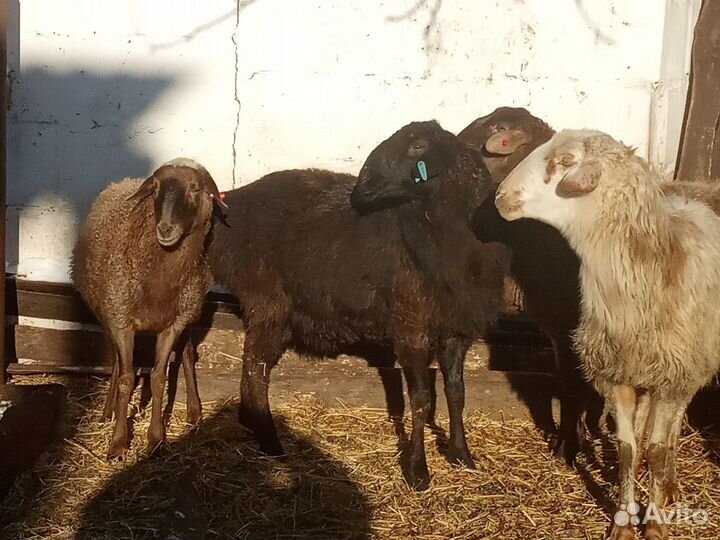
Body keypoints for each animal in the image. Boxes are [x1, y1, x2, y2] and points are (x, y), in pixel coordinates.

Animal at [72, 159, 226, 459]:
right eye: (154, 188)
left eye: (195, 187)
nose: (165, 228)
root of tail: (120, 182)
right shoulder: (121, 321)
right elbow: (127, 378)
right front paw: (118, 442)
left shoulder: (173, 324)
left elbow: (158, 378)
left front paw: (155, 439)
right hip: (108, 314)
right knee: (117, 362)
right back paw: (108, 411)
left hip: (189, 312)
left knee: (187, 354)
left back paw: (194, 412)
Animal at [207, 121, 509, 490]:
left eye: (418, 146)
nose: (361, 187)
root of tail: (231, 201)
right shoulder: (410, 325)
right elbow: (421, 399)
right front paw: (417, 471)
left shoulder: (457, 328)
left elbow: (456, 393)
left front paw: (461, 454)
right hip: (267, 300)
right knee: (255, 369)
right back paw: (270, 441)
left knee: (253, 366)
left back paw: (253, 426)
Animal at [495, 129, 720, 540]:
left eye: (566, 161)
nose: (501, 195)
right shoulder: (616, 376)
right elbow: (628, 449)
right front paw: (623, 522)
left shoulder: (672, 376)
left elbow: (657, 450)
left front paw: (654, 523)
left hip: (689, 368)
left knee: (674, 426)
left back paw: (670, 483)